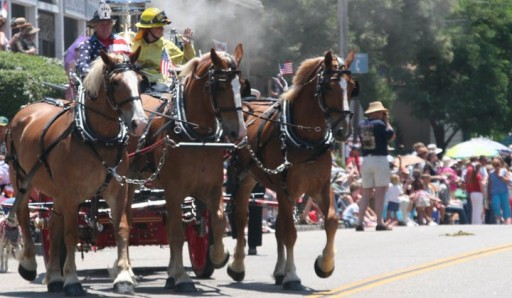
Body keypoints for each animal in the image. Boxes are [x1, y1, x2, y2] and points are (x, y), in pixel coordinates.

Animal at [6, 50, 147, 294]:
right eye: (115, 82)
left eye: (139, 81)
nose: (140, 123)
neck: (98, 138)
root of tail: (27, 110)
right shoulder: (72, 195)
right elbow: (71, 235)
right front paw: (72, 279)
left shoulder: (117, 191)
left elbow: (121, 229)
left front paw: (123, 277)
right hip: (21, 179)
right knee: (24, 215)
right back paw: (29, 264)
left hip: (56, 190)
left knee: (53, 225)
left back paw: (54, 277)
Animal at [129, 44, 247, 294]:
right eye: (221, 85)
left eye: (241, 85)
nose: (239, 132)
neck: (197, 137)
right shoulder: (174, 190)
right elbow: (176, 232)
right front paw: (182, 277)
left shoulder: (213, 186)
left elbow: (218, 220)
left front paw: (218, 255)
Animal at [227, 50, 356, 288]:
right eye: (329, 86)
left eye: (352, 86)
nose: (343, 130)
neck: (306, 139)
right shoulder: (285, 189)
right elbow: (290, 233)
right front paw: (293, 275)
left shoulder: (321, 188)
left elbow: (331, 221)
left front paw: (324, 265)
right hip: (244, 176)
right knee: (242, 218)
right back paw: (238, 266)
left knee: (277, 226)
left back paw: (279, 271)